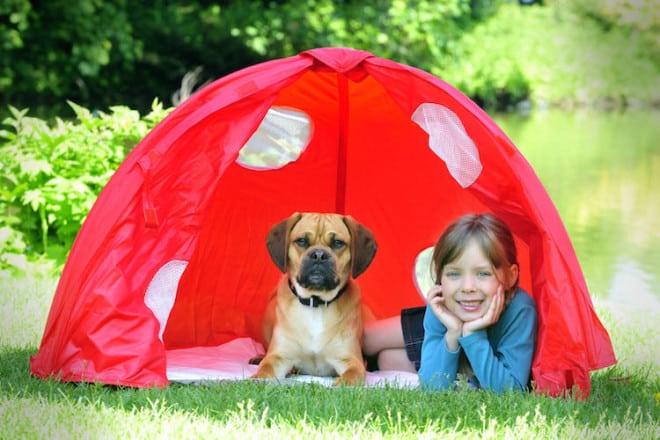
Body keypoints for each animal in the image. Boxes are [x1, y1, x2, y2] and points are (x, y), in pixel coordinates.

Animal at [251, 213, 376, 384]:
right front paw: (258, 378)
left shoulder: (350, 359)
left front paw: (344, 383)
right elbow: (266, 368)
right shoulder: (279, 356)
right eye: (301, 241)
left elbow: (352, 374)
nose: (319, 255)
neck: (316, 302)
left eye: (338, 243)